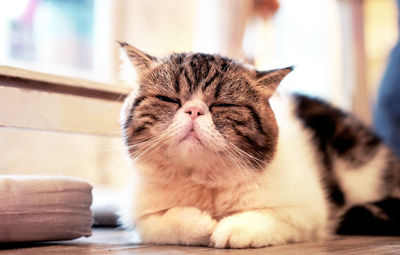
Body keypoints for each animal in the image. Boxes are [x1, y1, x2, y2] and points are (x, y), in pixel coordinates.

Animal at [117, 42, 400, 249]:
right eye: (168, 99)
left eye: (223, 104)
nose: (194, 110)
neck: (206, 184)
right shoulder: (139, 217)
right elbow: (160, 222)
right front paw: (202, 224)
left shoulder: (310, 210)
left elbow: (270, 215)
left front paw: (234, 227)